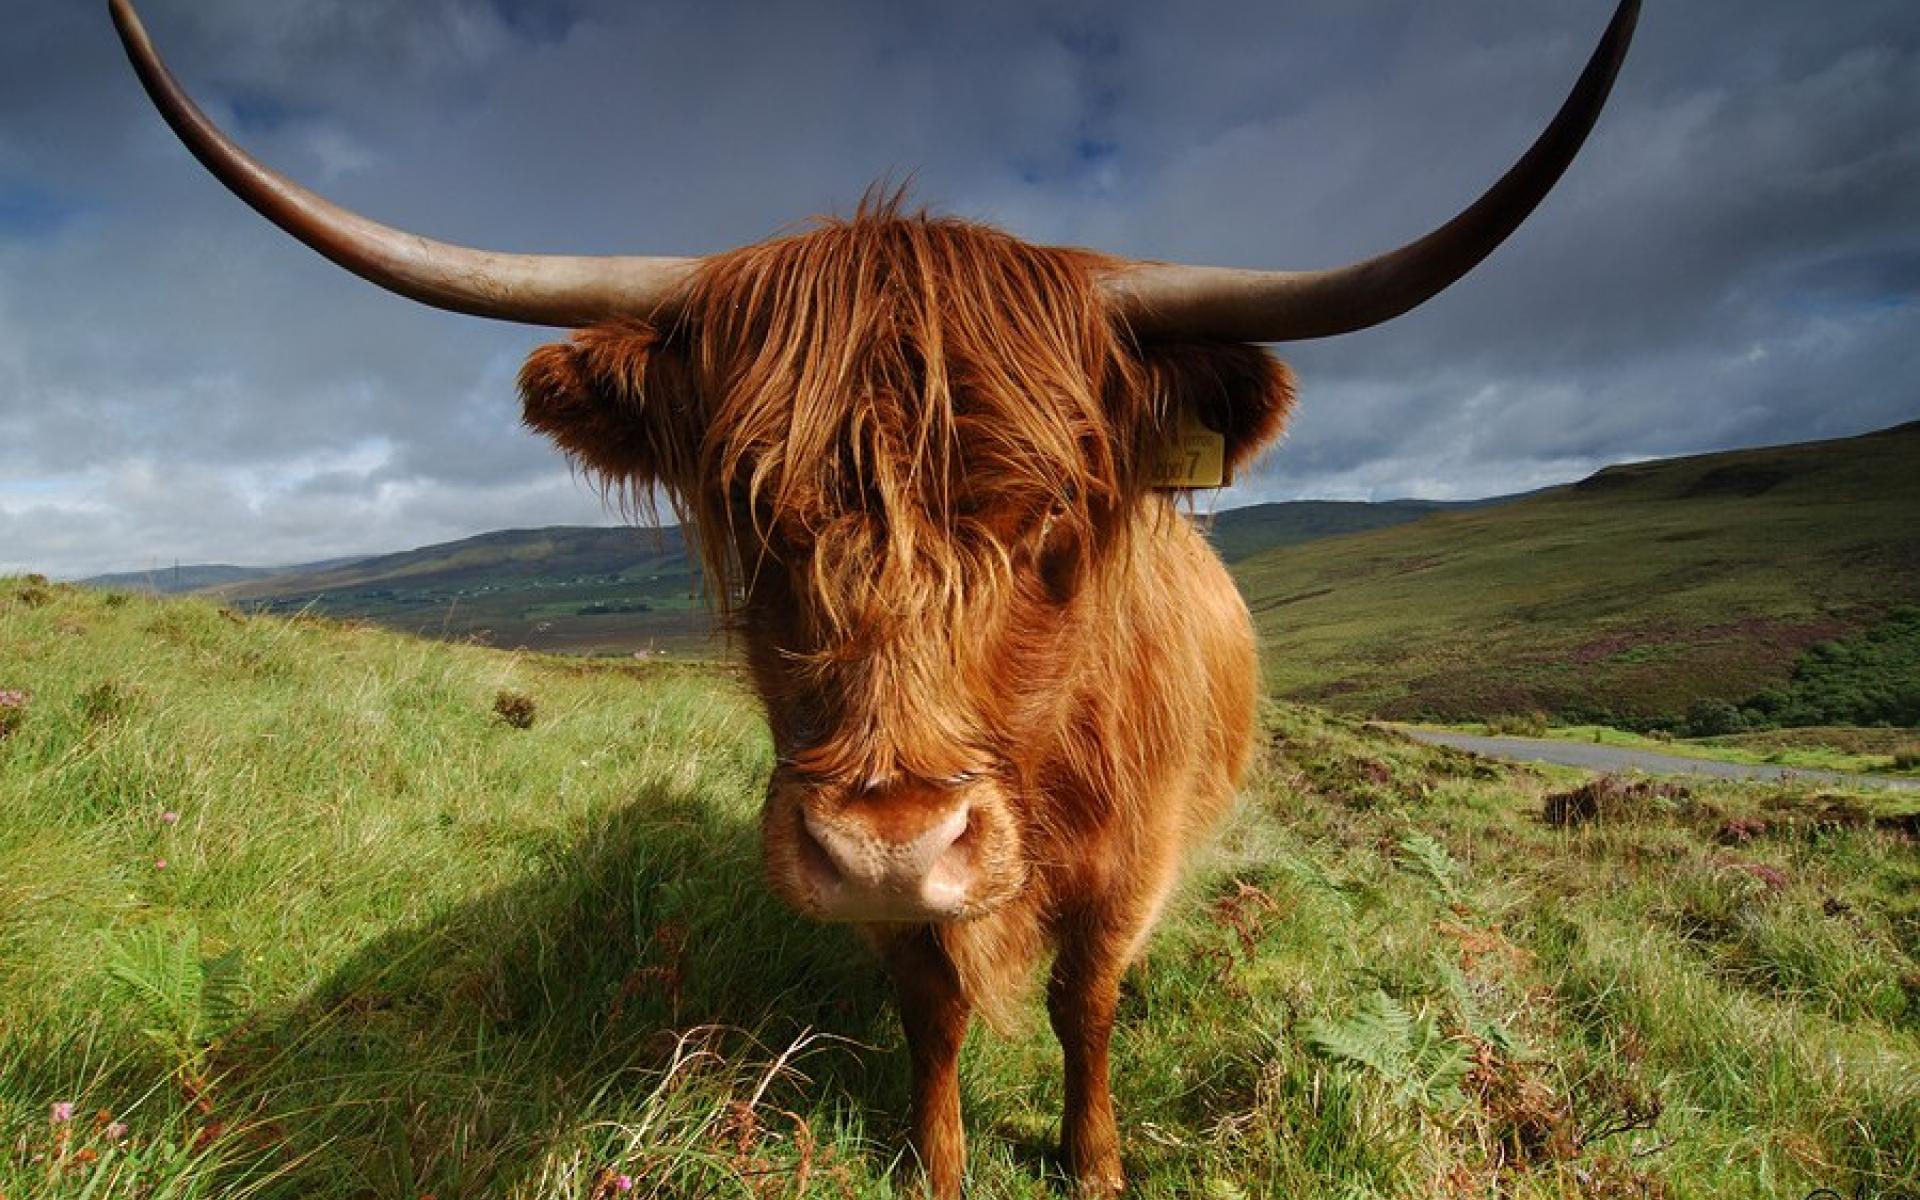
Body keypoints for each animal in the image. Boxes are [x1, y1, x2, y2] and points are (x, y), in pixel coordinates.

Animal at [111, 2, 1638, 1194]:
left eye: (1050, 511)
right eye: (746, 501)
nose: (889, 845)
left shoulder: (1131, 858)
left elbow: (1087, 999)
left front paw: (1093, 1161)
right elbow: (932, 1009)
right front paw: (936, 1161)